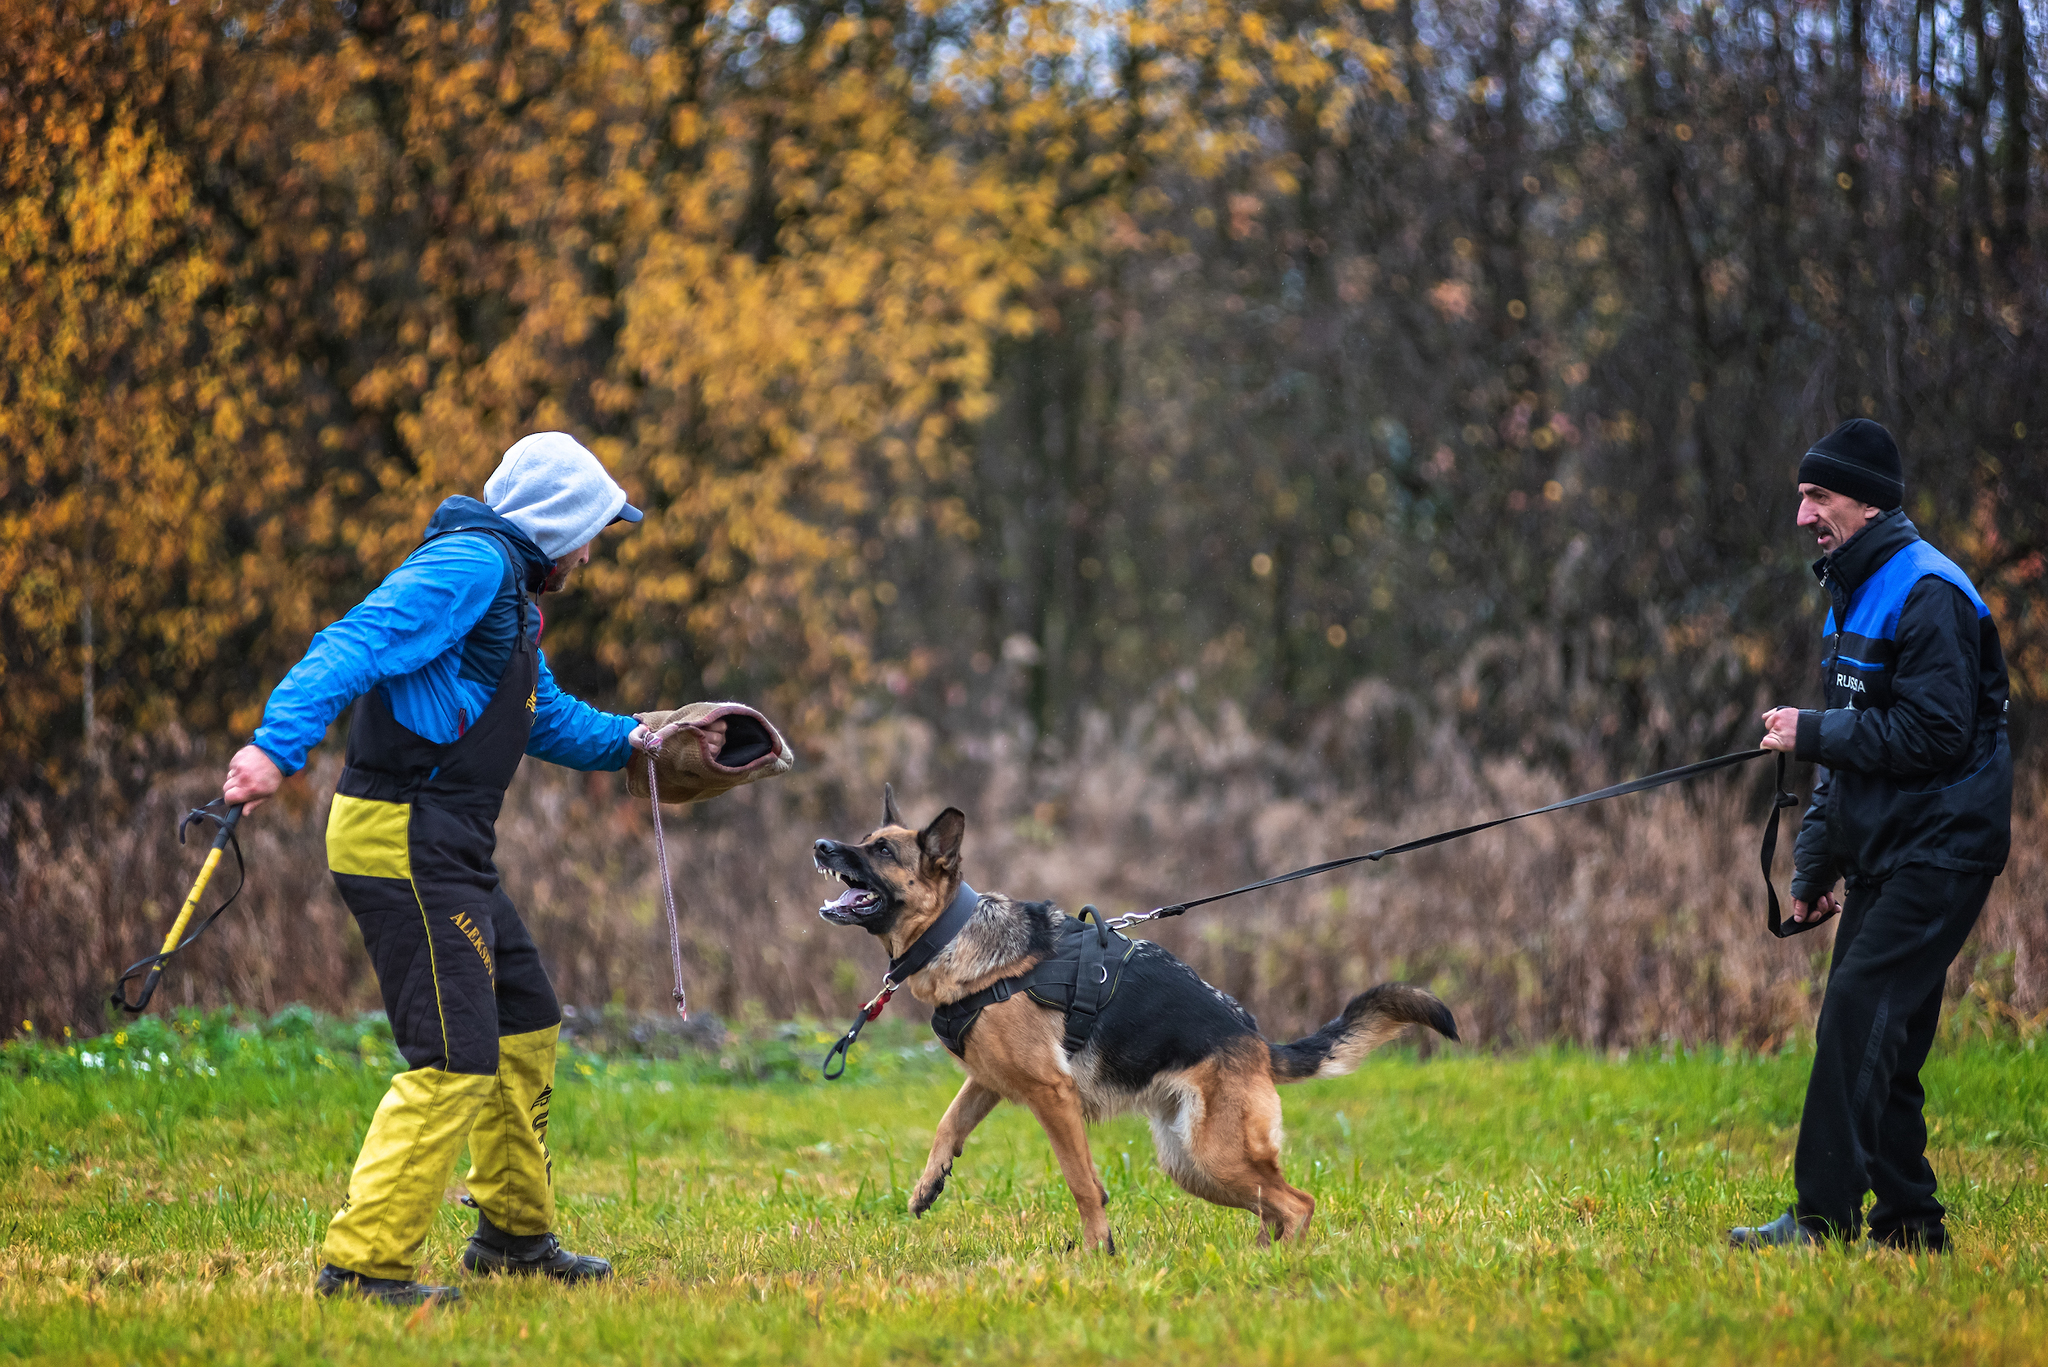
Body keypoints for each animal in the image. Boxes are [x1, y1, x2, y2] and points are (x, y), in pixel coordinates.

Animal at [811, 791, 1458, 1254]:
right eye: (865, 841)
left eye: (882, 852)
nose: (820, 845)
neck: (954, 935)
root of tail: (1255, 1040)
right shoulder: (989, 1081)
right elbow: (948, 1124)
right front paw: (930, 1182)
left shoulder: (1053, 1095)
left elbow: (1081, 1181)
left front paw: (1099, 1253)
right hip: (1194, 1166)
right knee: (1274, 1204)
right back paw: (1258, 1258)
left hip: (1215, 1155)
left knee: (1298, 1203)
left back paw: (1283, 1267)